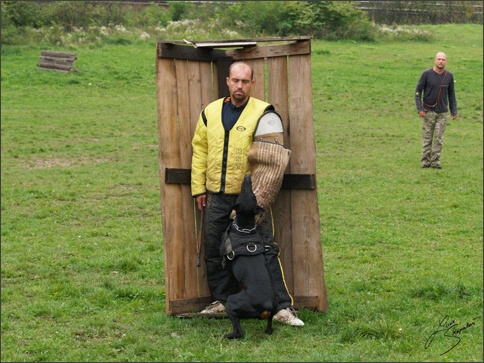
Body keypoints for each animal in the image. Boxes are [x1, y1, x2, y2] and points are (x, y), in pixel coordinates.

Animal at [220, 175, 278, 340]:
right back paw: (268, 330)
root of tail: (267, 304)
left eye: (244, 192)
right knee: (269, 324)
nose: (247, 177)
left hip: (233, 302)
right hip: (275, 307)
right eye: (252, 194)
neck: (245, 228)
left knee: (239, 331)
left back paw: (227, 335)